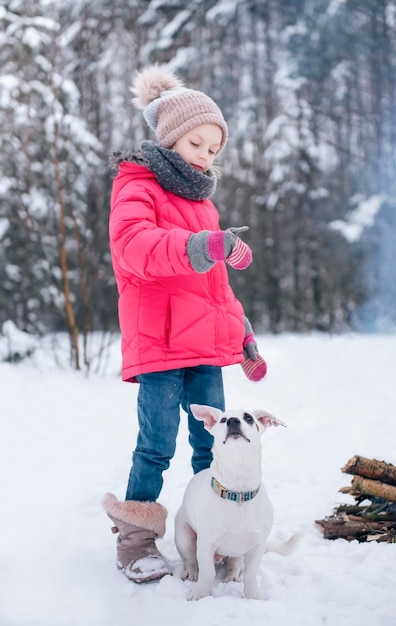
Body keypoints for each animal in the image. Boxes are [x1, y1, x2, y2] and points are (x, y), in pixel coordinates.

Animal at [175, 402, 296, 596]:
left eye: (249, 418)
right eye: (223, 420)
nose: (232, 421)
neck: (238, 492)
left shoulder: (257, 546)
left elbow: (250, 575)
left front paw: (254, 596)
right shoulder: (206, 544)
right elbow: (207, 573)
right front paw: (200, 595)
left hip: (239, 550)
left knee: (234, 564)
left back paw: (231, 577)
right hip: (184, 537)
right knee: (191, 559)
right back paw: (192, 573)